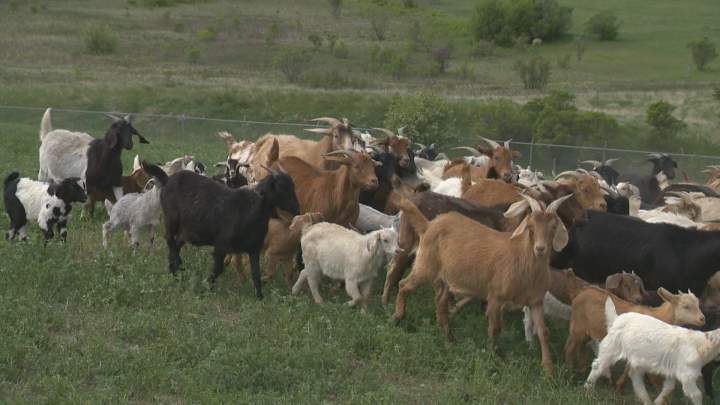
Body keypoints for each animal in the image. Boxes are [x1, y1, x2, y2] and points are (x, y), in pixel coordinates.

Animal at [160, 165, 299, 299]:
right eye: (281, 187)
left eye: (293, 185)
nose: (297, 208)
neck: (252, 209)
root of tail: (168, 180)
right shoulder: (221, 246)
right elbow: (218, 269)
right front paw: (206, 286)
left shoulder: (254, 248)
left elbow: (256, 273)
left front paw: (260, 297)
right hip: (171, 220)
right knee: (170, 241)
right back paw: (174, 270)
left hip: (186, 230)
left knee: (176, 244)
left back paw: (175, 269)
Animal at [392, 194, 572, 374]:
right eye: (530, 226)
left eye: (553, 226)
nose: (540, 249)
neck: (522, 259)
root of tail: (428, 225)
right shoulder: (495, 297)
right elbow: (495, 327)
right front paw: (495, 355)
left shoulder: (536, 301)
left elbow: (544, 332)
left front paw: (548, 369)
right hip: (426, 266)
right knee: (403, 284)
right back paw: (398, 317)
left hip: (444, 278)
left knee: (440, 303)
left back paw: (450, 339)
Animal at [585, 298, 717, 405]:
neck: (700, 344)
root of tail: (616, 319)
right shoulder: (687, 374)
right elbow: (696, 394)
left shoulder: (673, 371)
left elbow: (668, 387)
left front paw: (658, 401)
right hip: (612, 348)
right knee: (598, 366)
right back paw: (588, 388)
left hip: (638, 359)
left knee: (634, 375)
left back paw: (646, 400)